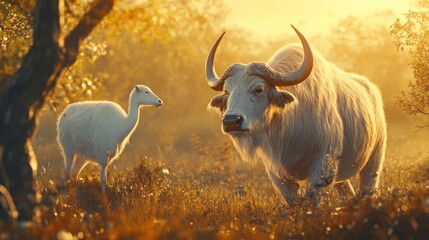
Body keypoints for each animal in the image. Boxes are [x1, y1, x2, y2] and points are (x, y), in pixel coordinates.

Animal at [204, 25, 384, 205]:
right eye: (227, 91)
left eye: (259, 89)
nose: (231, 121)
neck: (289, 127)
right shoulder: (277, 172)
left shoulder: (322, 166)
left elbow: (312, 199)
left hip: (373, 163)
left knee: (367, 187)